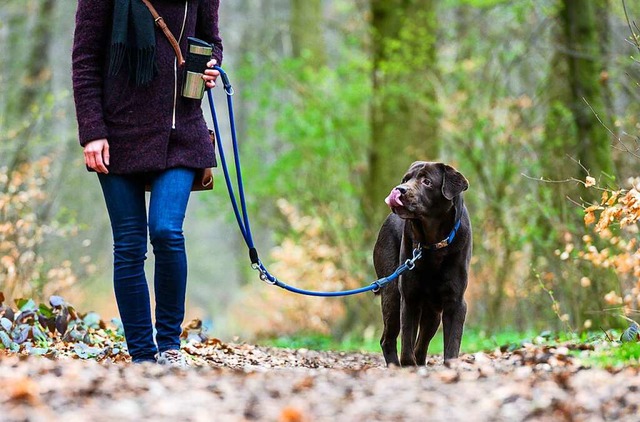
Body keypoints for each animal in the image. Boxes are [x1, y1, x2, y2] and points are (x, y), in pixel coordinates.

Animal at [372, 162, 472, 366]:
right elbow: (406, 345)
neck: (433, 243)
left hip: (433, 312)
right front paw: (408, 365)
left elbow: (452, 345)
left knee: (421, 344)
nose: (399, 189)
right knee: (388, 339)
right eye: (405, 179)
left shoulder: (456, 302)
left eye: (427, 181)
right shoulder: (409, 298)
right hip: (392, 294)